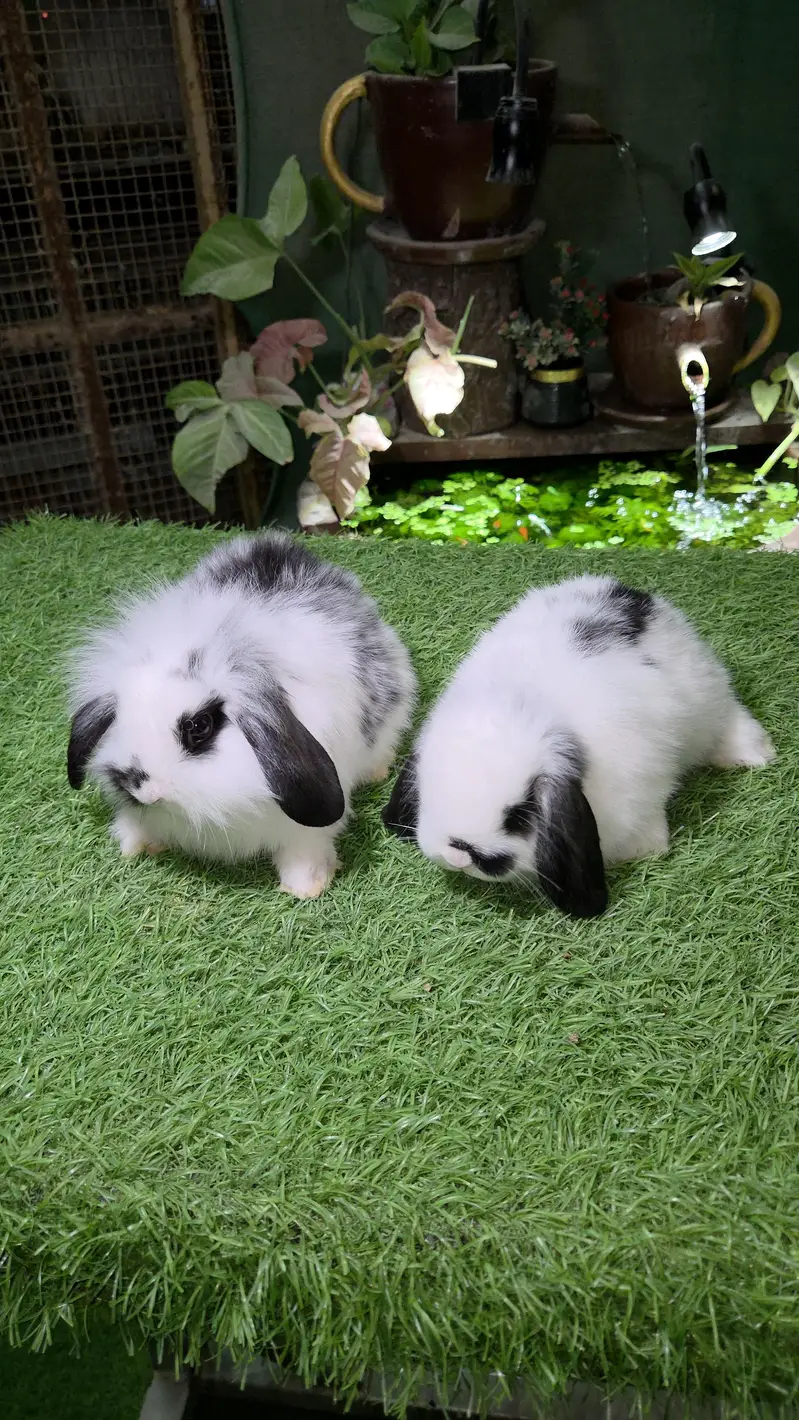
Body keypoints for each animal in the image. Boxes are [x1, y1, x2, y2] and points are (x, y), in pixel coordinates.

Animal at [67, 532, 416, 899]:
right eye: (120, 715)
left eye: (200, 726)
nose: (144, 789)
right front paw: (132, 845)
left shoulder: (305, 827)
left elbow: (304, 848)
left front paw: (306, 887)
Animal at [383, 573, 775, 919]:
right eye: (427, 794)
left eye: (519, 816)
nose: (459, 857)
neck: (527, 704)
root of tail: (629, 594)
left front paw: (645, 850)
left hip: (709, 700)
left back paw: (755, 755)